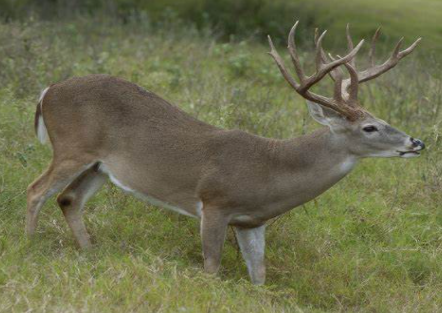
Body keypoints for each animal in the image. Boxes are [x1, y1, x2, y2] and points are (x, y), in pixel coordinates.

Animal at [27, 22, 424, 284]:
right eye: (369, 127)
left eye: (382, 118)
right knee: (36, 190)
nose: (416, 143)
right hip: (72, 148)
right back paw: (29, 244)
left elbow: (259, 275)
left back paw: (89, 253)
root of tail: (47, 91)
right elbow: (211, 269)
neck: (271, 169)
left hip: (99, 166)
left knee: (68, 199)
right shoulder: (214, 202)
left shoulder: (253, 222)